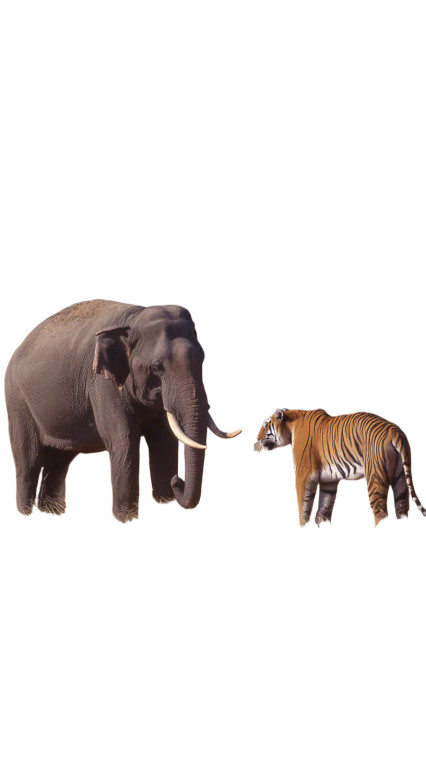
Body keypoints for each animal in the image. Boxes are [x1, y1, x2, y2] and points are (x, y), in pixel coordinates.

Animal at [5, 299, 241, 522]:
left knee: (59, 461)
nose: (177, 481)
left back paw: (51, 513)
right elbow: (124, 441)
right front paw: (126, 519)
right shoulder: (101, 384)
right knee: (29, 461)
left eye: (202, 359)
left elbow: (164, 441)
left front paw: (164, 500)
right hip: (17, 403)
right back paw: (26, 512)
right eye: (157, 366)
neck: (132, 320)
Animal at [254, 408, 425, 526]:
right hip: (400, 478)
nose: (257, 439)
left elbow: (304, 508)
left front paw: (303, 526)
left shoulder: (303, 477)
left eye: (265, 425)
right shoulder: (328, 480)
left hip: (375, 478)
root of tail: (395, 430)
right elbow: (323, 510)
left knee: (381, 513)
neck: (291, 425)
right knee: (402, 507)